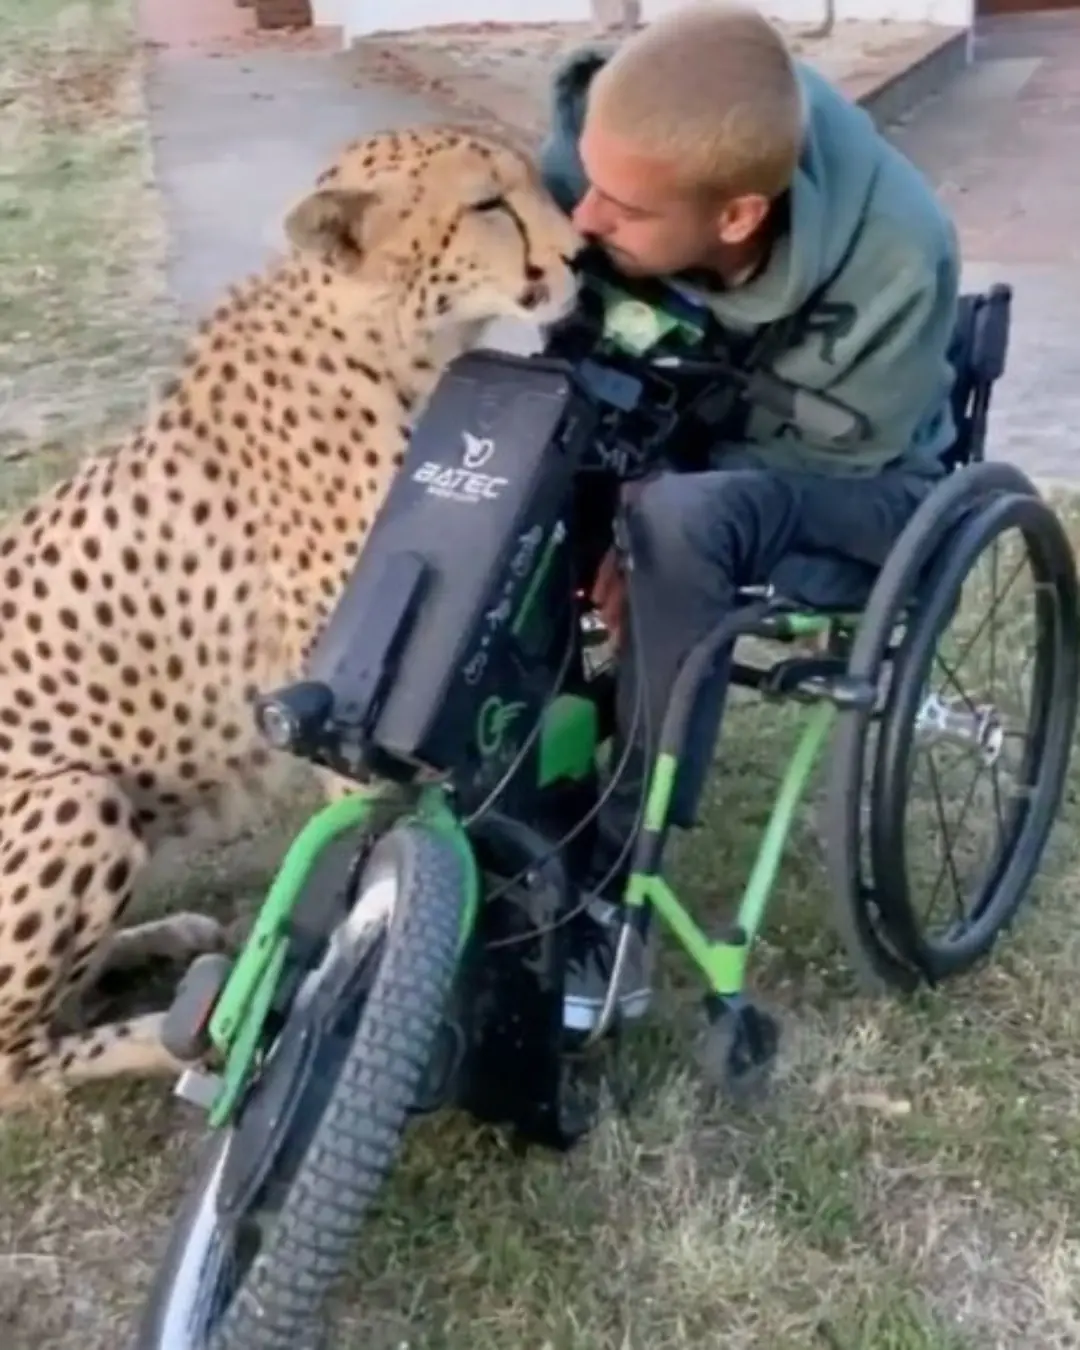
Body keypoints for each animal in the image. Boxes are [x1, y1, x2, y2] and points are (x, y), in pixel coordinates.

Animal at [0, 125, 582, 1108]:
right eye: (486, 205)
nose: (579, 255)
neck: (392, 340)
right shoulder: (351, 711)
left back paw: (163, 943)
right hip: (76, 797)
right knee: (18, 1064)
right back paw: (172, 1035)